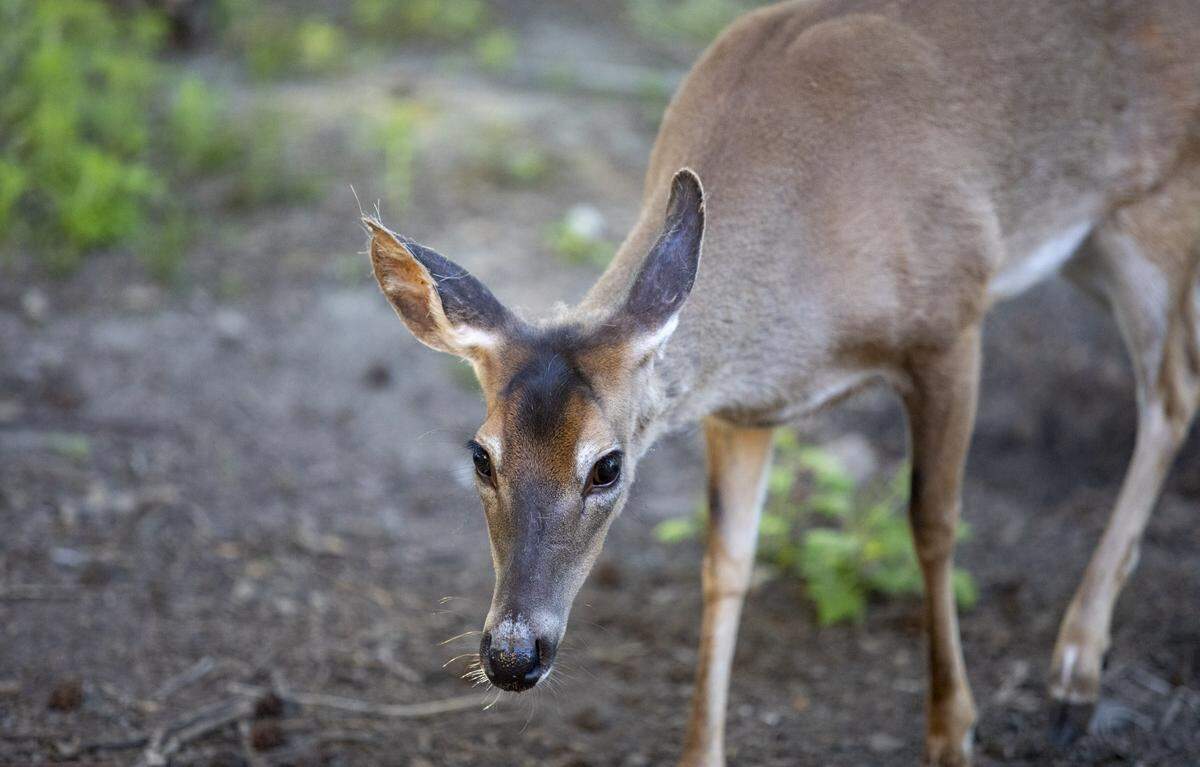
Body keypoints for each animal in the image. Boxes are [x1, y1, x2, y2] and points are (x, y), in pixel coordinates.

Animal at [361, 0, 1200, 763]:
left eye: (608, 466)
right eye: (480, 455)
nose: (512, 653)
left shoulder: (952, 321)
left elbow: (933, 523)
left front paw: (951, 730)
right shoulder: (741, 411)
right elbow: (726, 561)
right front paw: (701, 751)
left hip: (1157, 204)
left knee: (1171, 389)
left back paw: (1075, 676)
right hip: (1092, 241)